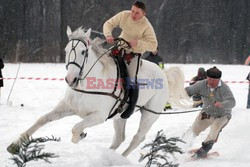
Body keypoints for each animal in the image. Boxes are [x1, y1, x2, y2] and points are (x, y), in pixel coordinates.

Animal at [7, 26, 189, 157]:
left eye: (83, 52)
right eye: (66, 50)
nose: (70, 79)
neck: (86, 86)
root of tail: (163, 74)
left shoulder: (98, 117)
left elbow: (75, 128)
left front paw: (79, 136)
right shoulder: (67, 107)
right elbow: (43, 119)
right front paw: (15, 145)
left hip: (149, 115)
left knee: (137, 138)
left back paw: (119, 158)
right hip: (119, 117)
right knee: (119, 139)